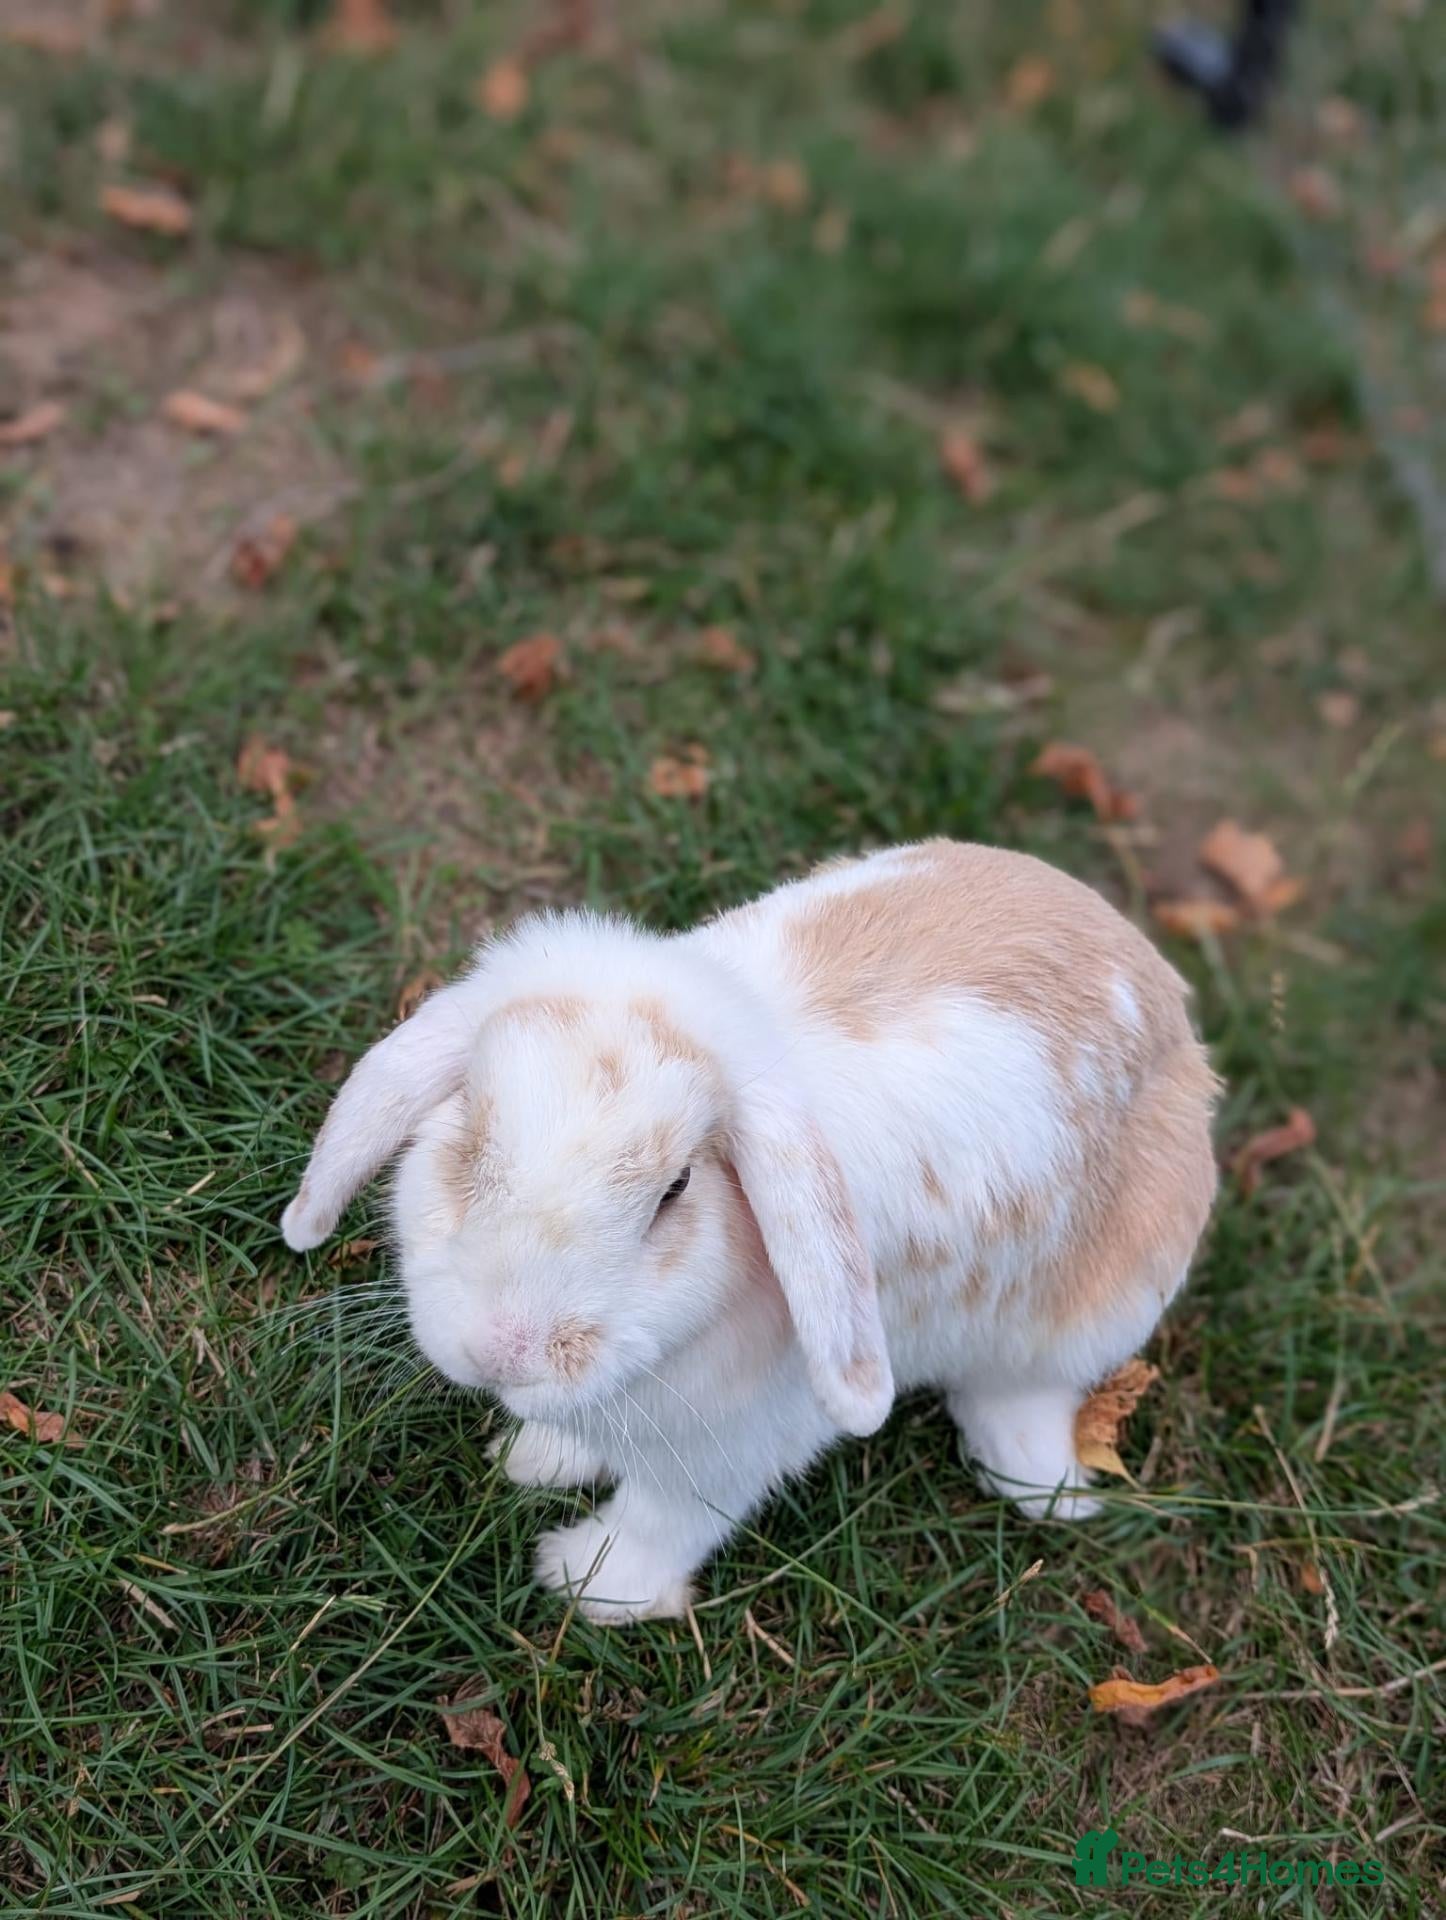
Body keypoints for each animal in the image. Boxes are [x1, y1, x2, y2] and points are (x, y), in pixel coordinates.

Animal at [281, 839, 1219, 1622]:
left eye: (676, 1188)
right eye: (472, 1135)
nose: (506, 1352)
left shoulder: (729, 1449)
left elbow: (660, 1525)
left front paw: (586, 1586)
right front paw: (535, 1460)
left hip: (1092, 1313)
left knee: (1026, 1393)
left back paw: (1037, 1483)